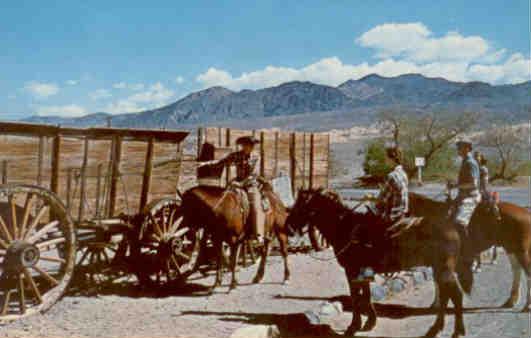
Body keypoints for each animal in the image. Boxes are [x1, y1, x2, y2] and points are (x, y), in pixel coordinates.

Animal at [286, 189, 470, 338]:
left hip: (443, 269)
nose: (288, 226)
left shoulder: (351, 271)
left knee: (455, 295)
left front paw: (353, 327)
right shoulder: (362, 272)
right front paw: (369, 323)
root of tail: (452, 226)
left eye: (300, 205)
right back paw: (437, 329)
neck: (344, 226)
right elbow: (366, 296)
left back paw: (456, 331)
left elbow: (356, 298)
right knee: (447, 295)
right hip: (439, 268)